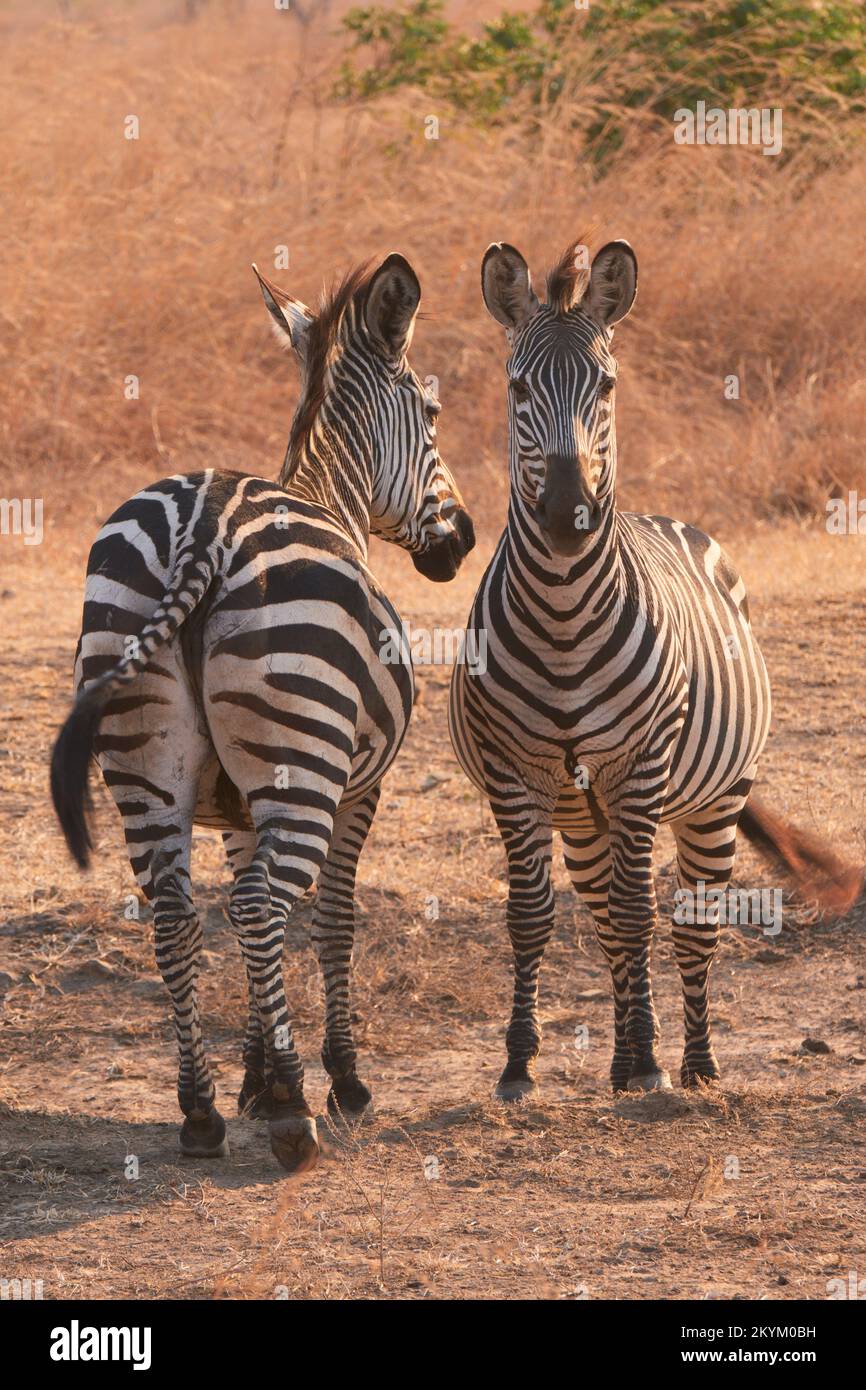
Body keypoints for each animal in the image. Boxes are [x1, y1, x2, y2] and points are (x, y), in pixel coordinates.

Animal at [50, 252, 478, 1173]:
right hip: (306, 765)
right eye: (431, 416)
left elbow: (255, 916)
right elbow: (332, 919)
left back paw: (200, 1112)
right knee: (257, 905)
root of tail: (204, 525)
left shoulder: (241, 805)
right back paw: (293, 1114)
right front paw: (337, 1078)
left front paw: (250, 1073)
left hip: (144, 759)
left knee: (177, 916)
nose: (462, 540)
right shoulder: (359, 791)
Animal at [450, 233, 861, 1089]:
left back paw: (692, 1062)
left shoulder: (640, 765)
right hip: (583, 812)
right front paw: (520, 1062)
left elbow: (645, 914)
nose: (567, 515)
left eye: (605, 385)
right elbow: (533, 916)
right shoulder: (514, 773)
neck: (564, 615)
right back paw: (629, 1047)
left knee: (690, 923)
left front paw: (646, 1065)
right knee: (607, 916)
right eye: (516, 386)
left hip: (713, 799)